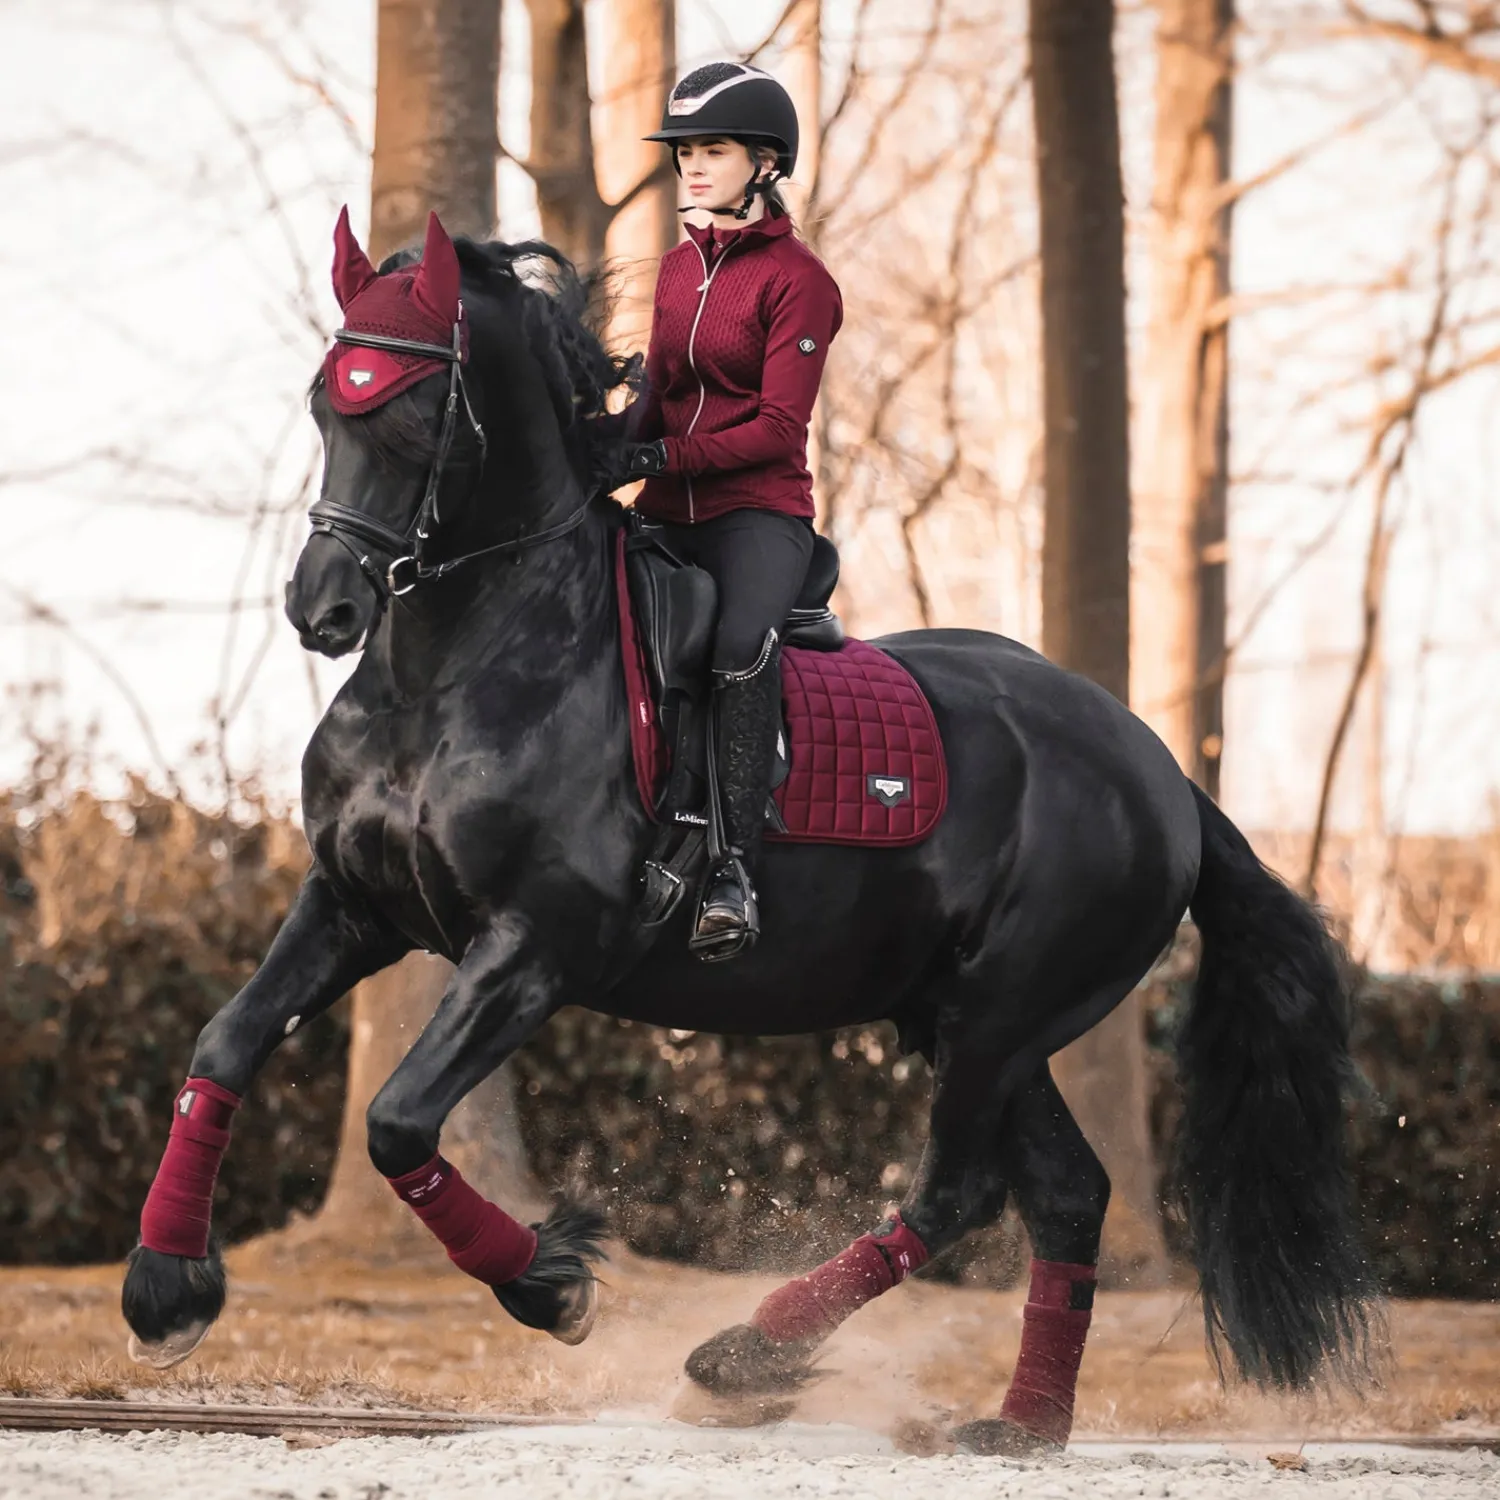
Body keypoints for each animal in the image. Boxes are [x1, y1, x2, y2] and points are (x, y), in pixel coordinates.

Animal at [121, 212, 1377, 1454]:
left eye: (420, 411)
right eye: (326, 404)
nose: (323, 607)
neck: (459, 666)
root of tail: (1163, 774)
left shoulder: (533, 950)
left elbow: (395, 1123)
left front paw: (552, 1286)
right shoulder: (352, 907)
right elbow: (224, 1045)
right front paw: (164, 1290)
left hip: (1002, 1016)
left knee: (958, 1192)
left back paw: (744, 1359)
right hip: (965, 1017)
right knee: (1067, 1195)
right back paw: (1019, 1424)